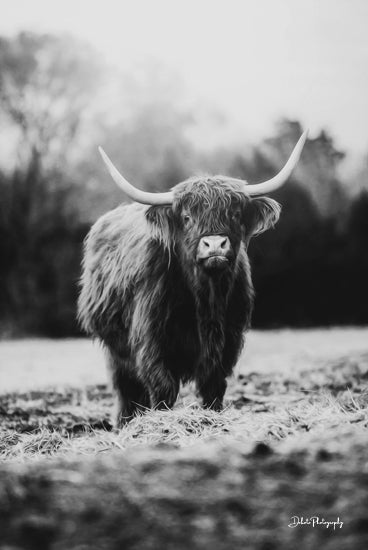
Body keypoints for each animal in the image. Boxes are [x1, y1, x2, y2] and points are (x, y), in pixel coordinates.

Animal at [77, 133, 308, 426]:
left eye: (234, 214)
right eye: (187, 217)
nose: (215, 245)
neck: (206, 297)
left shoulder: (228, 341)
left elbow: (213, 386)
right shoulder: (150, 341)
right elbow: (162, 386)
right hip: (114, 348)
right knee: (125, 388)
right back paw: (125, 422)